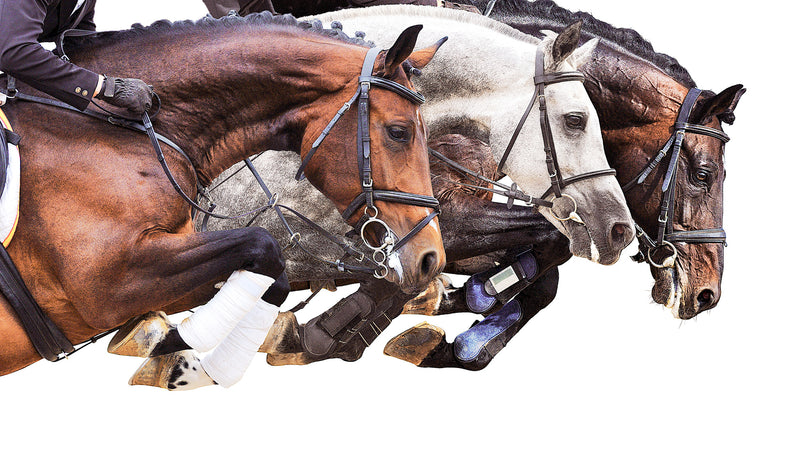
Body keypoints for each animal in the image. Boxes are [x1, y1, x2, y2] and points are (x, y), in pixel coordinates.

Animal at [0, 12, 447, 386]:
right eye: (399, 132)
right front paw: (165, 344)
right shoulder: (107, 285)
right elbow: (263, 245)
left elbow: (274, 275)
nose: (431, 259)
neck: (117, 128)